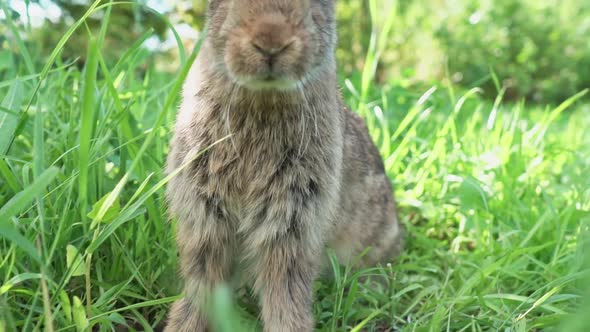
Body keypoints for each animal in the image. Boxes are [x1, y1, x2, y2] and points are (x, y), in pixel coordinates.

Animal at [165, 0, 408, 332]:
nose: (270, 43)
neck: (263, 99)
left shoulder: (294, 218)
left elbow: (284, 290)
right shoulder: (205, 215)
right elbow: (203, 280)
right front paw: (184, 325)